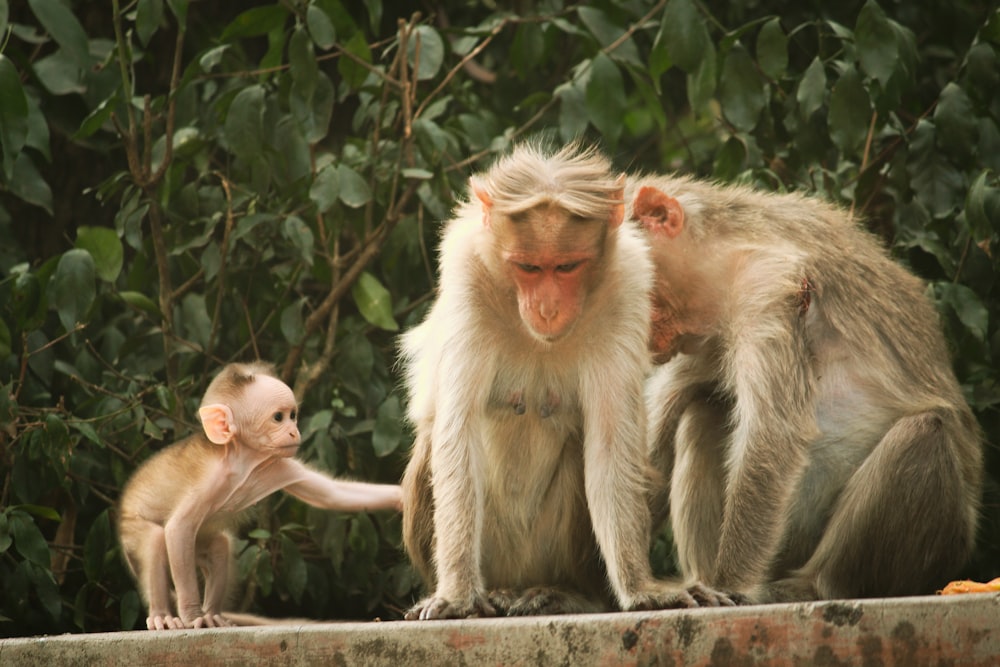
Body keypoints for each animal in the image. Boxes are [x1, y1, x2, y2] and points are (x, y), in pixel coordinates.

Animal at [117, 362, 398, 628]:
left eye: (293, 415)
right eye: (278, 417)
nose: (294, 431)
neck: (243, 460)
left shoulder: (278, 466)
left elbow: (332, 494)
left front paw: (400, 497)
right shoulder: (210, 482)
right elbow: (177, 528)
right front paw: (192, 616)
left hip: (198, 544)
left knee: (220, 546)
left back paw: (213, 614)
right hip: (130, 529)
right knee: (155, 539)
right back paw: (163, 616)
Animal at [396, 142, 712, 620]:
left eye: (565, 267)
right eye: (528, 267)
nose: (546, 309)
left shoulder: (627, 285)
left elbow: (609, 443)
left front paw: (642, 588)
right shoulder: (466, 276)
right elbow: (456, 435)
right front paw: (455, 596)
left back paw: (565, 593)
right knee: (432, 446)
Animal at [632, 176, 984, 604]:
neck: (724, 248)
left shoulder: (765, 285)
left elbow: (771, 435)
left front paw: (730, 585)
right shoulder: (706, 331)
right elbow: (658, 438)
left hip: (940, 543)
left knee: (924, 434)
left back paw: (814, 584)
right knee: (703, 412)